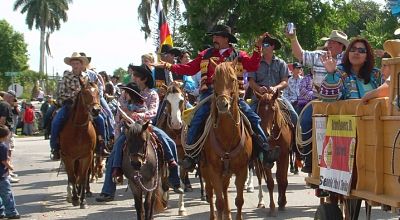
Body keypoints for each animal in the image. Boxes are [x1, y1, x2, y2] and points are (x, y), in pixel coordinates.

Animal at [59, 80, 100, 208]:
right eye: (85, 93)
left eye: (98, 92)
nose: (96, 110)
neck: (79, 131)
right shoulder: (68, 157)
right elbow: (72, 177)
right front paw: (75, 198)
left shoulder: (87, 156)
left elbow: (82, 177)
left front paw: (83, 200)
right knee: (71, 175)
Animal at [202, 62, 252, 220]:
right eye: (213, 80)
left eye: (233, 79)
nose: (222, 104)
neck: (227, 136)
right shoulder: (214, 170)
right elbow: (218, 202)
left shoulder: (242, 170)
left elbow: (239, 200)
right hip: (205, 169)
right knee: (210, 191)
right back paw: (213, 216)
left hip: (227, 172)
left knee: (224, 189)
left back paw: (228, 214)